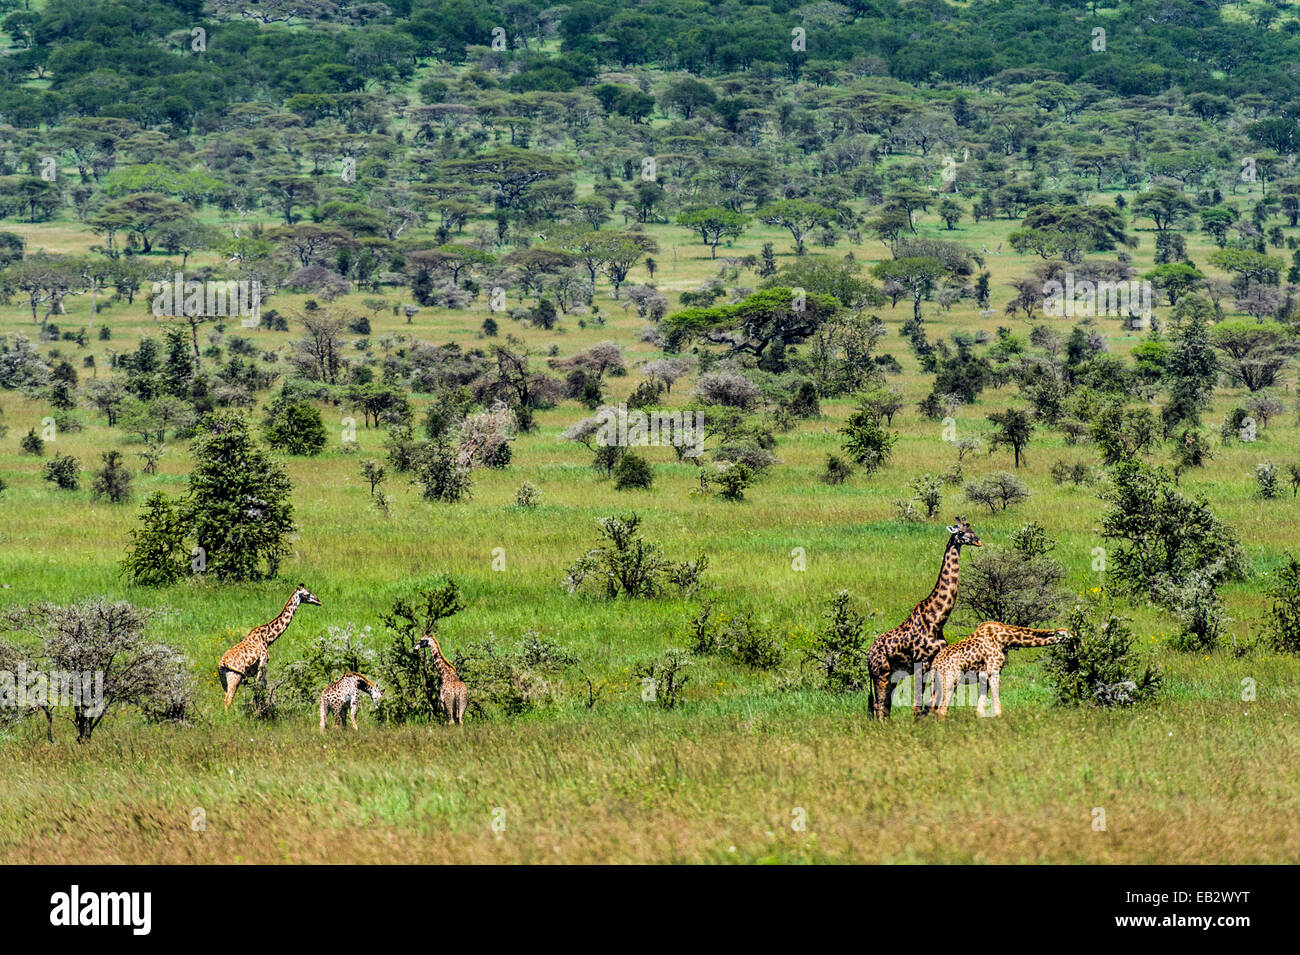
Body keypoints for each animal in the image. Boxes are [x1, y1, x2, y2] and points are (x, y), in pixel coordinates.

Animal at [217, 582, 321, 712]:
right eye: (307, 593)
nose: (319, 601)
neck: (267, 638)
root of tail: (222, 663)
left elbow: (267, 688)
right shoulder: (263, 663)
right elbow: (260, 688)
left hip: (223, 680)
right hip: (235, 676)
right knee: (228, 700)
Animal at [868, 519, 977, 722]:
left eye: (971, 528)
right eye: (960, 532)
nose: (977, 540)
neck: (936, 619)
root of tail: (867, 655)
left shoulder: (934, 663)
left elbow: (932, 702)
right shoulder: (921, 663)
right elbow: (918, 704)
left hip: (893, 675)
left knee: (885, 705)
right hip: (881, 674)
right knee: (879, 705)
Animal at [935, 621, 1066, 717]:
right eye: (1066, 634)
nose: (1073, 636)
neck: (1005, 638)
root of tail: (935, 665)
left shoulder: (984, 676)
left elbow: (979, 710)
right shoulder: (994, 671)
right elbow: (997, 708)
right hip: (951, 681)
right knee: (941, 710)